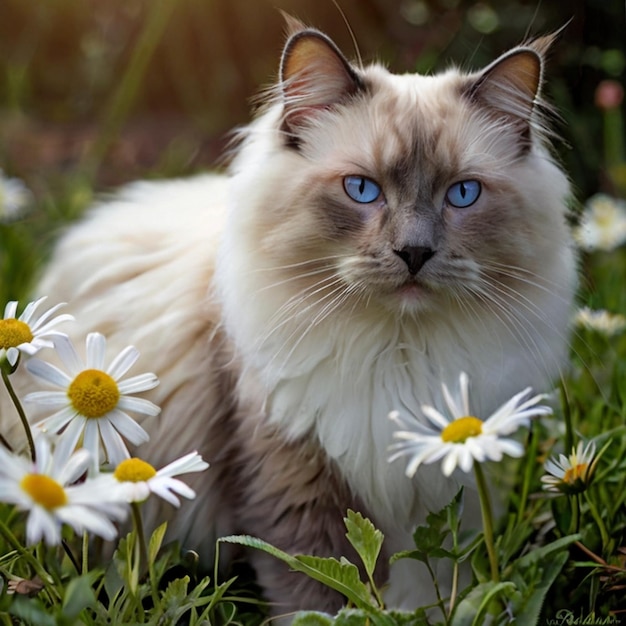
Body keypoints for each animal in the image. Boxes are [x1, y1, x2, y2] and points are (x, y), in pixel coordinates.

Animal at [1, 18, 576, 616]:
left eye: (462, 194)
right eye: (362, 190)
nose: (415, 252)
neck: (397, 352)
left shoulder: (446, 486)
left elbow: (434, 583)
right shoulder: (293, 479)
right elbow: (319, 592)